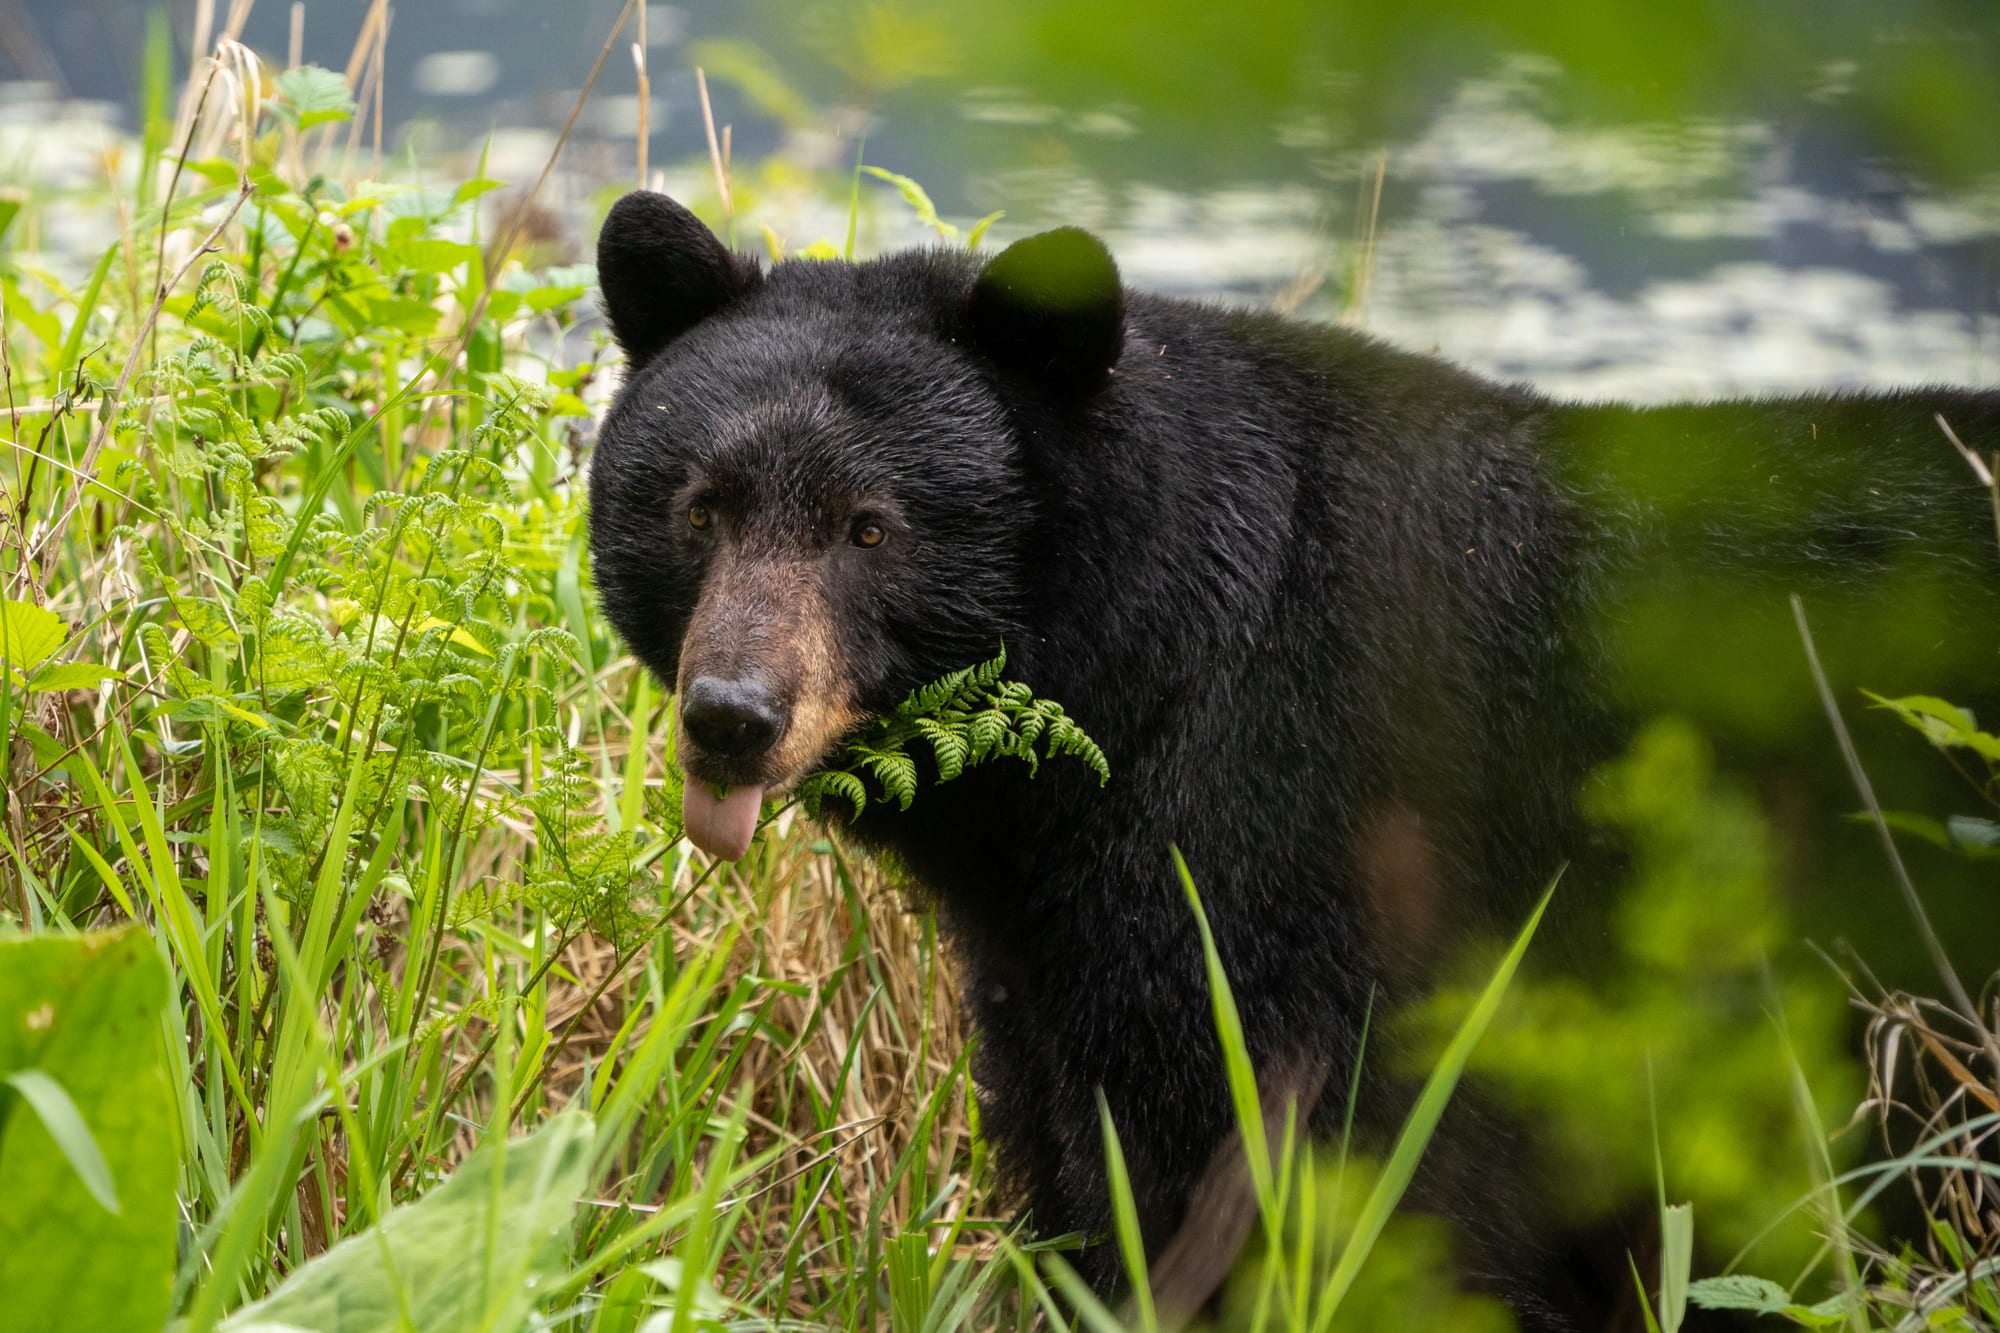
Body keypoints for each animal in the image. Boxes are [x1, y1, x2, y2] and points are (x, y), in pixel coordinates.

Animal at [588, 189, 2000, 1328]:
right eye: (699, 507)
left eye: (871, 527)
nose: (731, 713)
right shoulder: (1047, 951)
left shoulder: (1301, 855)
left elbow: (1292, 1182)